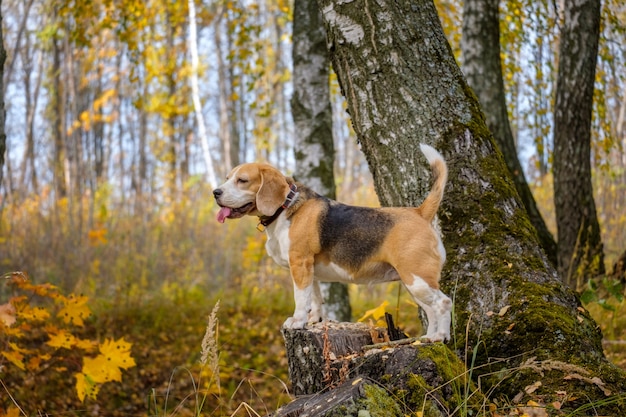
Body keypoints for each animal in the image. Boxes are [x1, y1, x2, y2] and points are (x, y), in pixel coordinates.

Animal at [212, 143, 450, 342]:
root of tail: (419, 212)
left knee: (443, 303)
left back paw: (441, 337)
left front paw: (297, 322)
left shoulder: (299, 263)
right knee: (431, 310)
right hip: (414, 283)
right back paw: (429, 337)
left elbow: (301, 299)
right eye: (227, 178)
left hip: (417, 279)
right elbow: (315, 298)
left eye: (242, 180)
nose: (215, 192)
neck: (285, 207)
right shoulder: (310, 270)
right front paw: (313, 320)